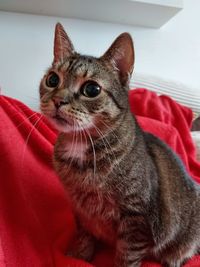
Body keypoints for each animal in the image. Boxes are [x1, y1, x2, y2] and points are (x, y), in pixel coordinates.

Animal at [39, 23, 200, 267]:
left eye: (91, 89)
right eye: (52, 80)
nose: (58, 100)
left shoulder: (137, 220)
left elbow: (127, 257)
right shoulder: (81, 211)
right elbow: (84, 237)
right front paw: (77, 256)